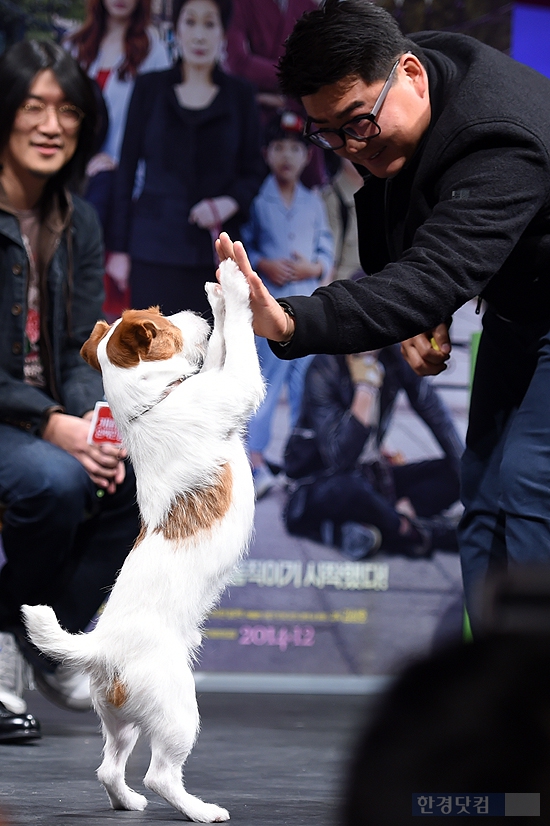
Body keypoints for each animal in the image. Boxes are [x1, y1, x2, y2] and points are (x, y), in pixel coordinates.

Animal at [22, 260, 268, 820]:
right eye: (164, 322)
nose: (194, 310)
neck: (151, 405)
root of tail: (99, 647)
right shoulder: (234, 386)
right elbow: (240, 345)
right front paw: (233, 285)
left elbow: (223, 347)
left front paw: (219, 294)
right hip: (177, 711)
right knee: (160, 775)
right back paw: (200, 810)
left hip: (122, 718)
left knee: (109, 768)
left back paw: (127, 802)